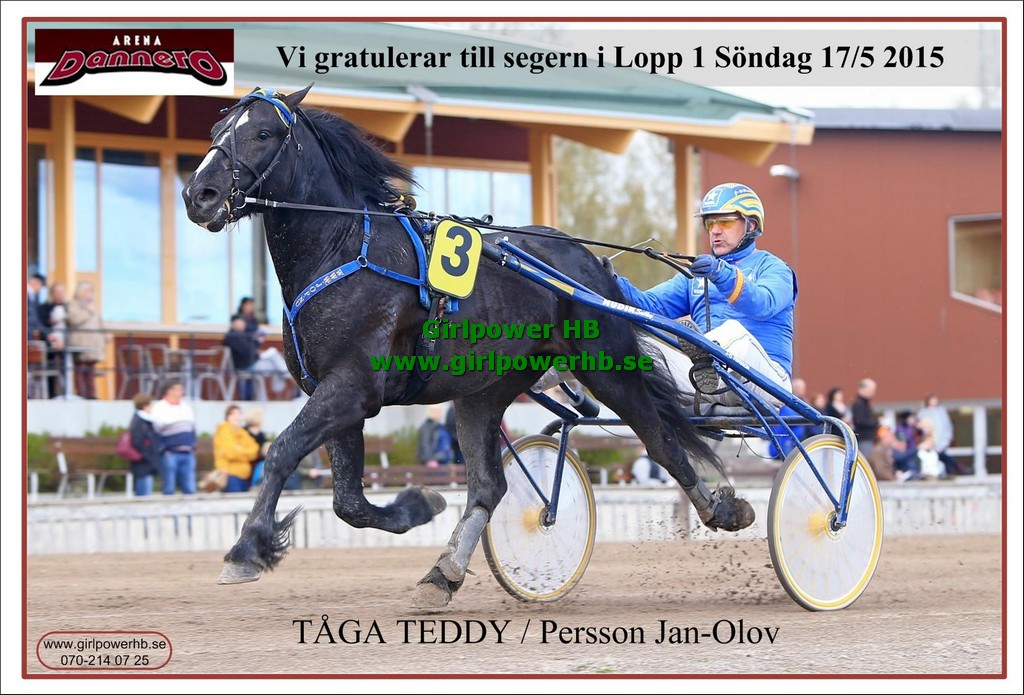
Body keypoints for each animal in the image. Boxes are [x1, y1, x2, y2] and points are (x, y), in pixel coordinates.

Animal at [181, 86, 754, 607]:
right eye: (215, 131)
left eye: (262, 133)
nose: (198, 195)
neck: (343, 249)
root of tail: (591, 262)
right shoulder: (338, 392)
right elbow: (349, 501)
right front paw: (419, 504)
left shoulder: (352, 388)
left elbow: (281, 451)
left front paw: (246, 550)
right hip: (483, 392)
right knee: (488, 487)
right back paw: (443, 573)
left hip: (606, 366)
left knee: (662, 440)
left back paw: (722, 509)